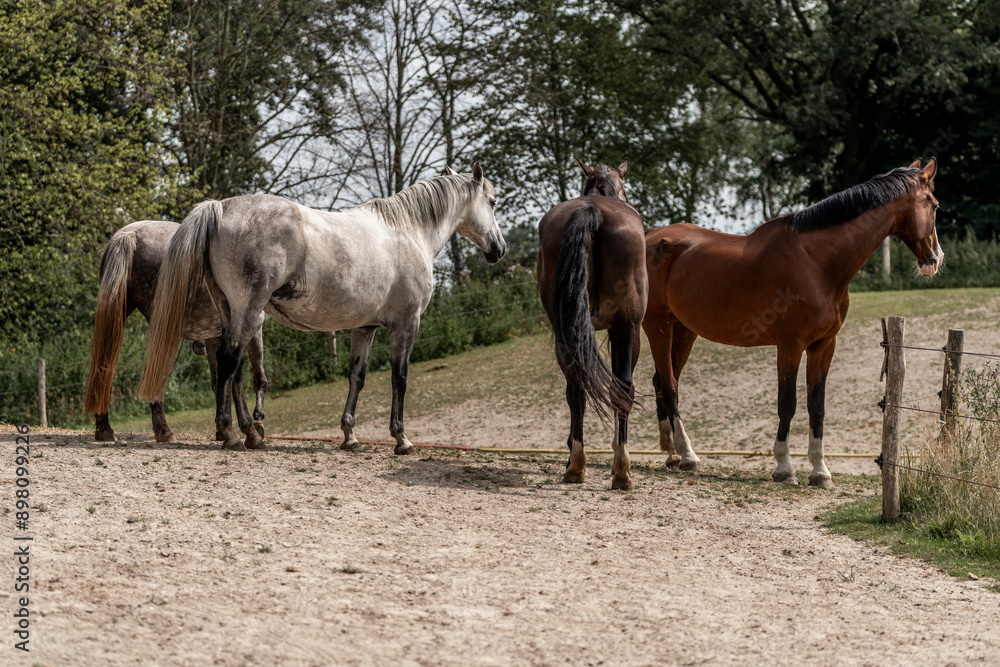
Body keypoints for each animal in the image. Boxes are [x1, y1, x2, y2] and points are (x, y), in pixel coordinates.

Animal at [85, 220, 268, 444]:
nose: (196, 346)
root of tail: (130, 234)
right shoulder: (249, 329)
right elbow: (249, 377)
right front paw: (253, 426)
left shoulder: (213, 338)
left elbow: (219, 380)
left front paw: (223, 430)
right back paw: (164, 431)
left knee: (104, 367)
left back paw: (105, 429)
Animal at [137, 164, 505, 452]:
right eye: (492, 201)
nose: (499, 249)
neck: (408, 231)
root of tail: (220, 207)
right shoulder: (406, 324)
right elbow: (399, 378)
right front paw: (401, 439)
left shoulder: (364, 328)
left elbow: (356, 377)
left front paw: (349, 435)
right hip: (247, 311)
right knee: (229, 362)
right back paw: (231, 433)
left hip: (230, 312)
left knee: (235, 371)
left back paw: (249, 433)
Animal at [537, 159, 647, 490]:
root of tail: (591, 211)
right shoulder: (624, 330)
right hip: (627, 327)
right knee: (620, 389)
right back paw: (617, 470)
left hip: (565, 332)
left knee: (577, 389)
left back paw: (579, 465)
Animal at [643, 158, 943, 488]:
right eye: (935, 205)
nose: (935, 259)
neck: (815, 260)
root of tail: (649, 237)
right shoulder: (790, 345)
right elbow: (787, 403)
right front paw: (784, 467)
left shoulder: (823, 345)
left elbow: (816, 406)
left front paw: (820, 471)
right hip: (657, 326)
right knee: (669, 385)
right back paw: (688, 455)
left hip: (684, 330)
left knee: (662, 382)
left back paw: (672, 453)